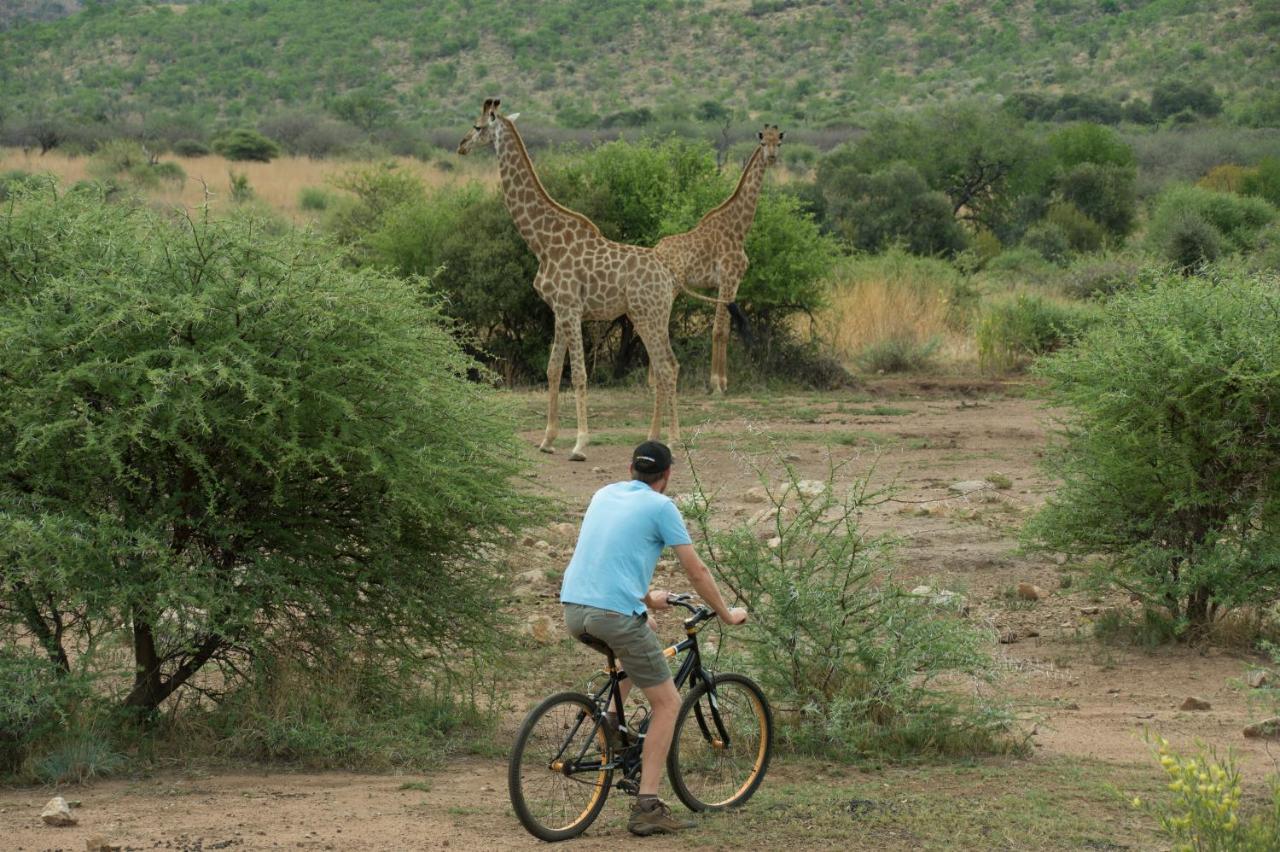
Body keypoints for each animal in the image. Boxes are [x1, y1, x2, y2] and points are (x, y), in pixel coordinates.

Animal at [458, 97, 686, 465]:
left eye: (477, 126)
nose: (461, 146)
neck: (542, 242)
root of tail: (669, 277)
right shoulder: (559, 310)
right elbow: (553, 370)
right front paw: (548, 440)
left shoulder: (571, 308)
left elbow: (578, 373)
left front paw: (579, 444)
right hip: (651, 316)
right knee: (670, 365)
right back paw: (654, 436)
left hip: (646, 315)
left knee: (665, 368)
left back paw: (674, 441)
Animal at [655, 123, 783, 394]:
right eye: (762, 143)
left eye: (778, 142)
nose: (771, 158)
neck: (739, 229)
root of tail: (655, 249)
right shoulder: (727, 278)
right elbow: (718, 331)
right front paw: (716, 384)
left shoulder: (733, 283)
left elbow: (725, 329)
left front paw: (723, 382)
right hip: (670, 288)